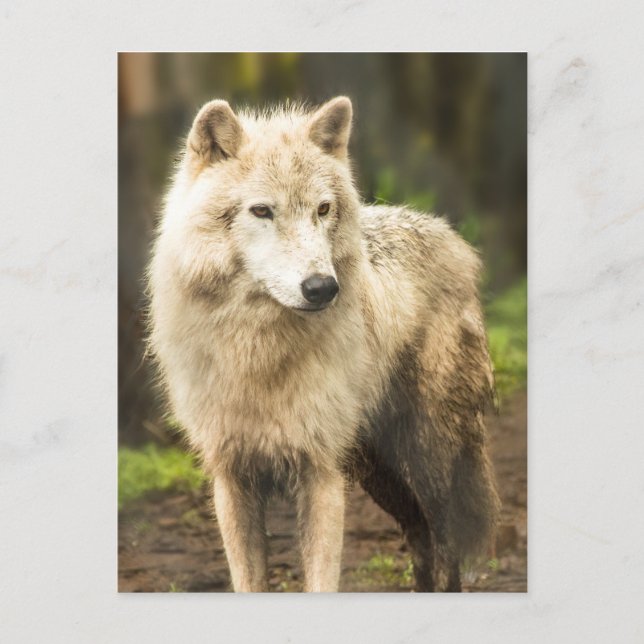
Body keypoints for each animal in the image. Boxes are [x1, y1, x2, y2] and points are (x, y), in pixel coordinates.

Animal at [147, 96, 500, 592]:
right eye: (262, 211)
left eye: (322, 209)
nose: (322, 288)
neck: (257, 352)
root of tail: (453, 239)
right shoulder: (232, 479)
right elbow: (248, 581)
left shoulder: (321, 474)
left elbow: (321, 579)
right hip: (380, 473)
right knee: (420, 539)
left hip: (431, 459)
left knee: (446, 547)